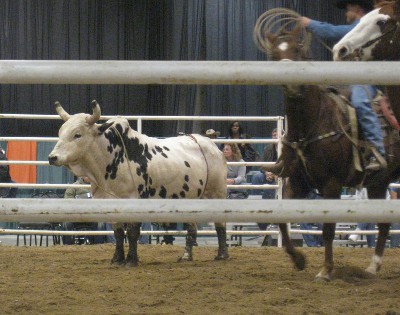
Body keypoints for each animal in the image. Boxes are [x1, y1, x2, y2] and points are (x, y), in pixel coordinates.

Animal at [47, 101, 228, 266]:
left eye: (77, 134)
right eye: (60, 132)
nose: (52, 157)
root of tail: (209, 144)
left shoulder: (135, 200)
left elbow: (133, 232)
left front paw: (131, 260)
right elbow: (119, 233)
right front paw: (117, 259)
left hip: (217, 193)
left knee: (220, 224)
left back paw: (222, 255)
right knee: (192, 227)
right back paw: (186, 256)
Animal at [256, 9, 400, 282]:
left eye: (298, 49)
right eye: (273, 55)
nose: (292, 83)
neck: (312, 123)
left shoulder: (332, 185)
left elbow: (328, 230)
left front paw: (326, 270)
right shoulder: (297, 182)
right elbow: (281, 219)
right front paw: (298, 259)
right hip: (378, 183)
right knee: (385, 224)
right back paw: (372, 267)